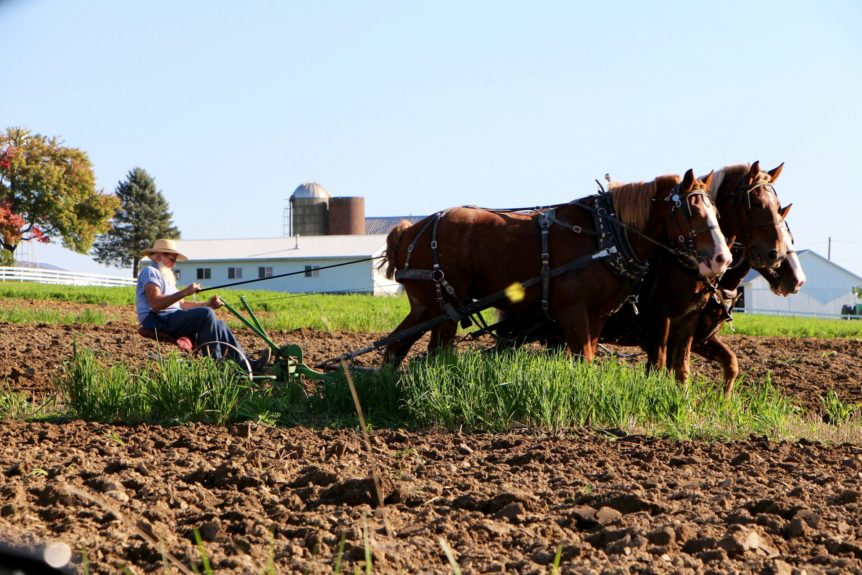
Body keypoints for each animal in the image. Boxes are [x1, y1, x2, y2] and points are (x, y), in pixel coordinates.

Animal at [381, 169, 731, 365]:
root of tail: (409, 231)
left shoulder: (598, 315)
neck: (604, 234)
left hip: (426, 307)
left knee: (397, 345)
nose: (722, 258)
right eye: (691, 210)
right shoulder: (572, 311)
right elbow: (583, 359)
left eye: (716, 210)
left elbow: (586, 356)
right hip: (442, 307)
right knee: (429, 350)